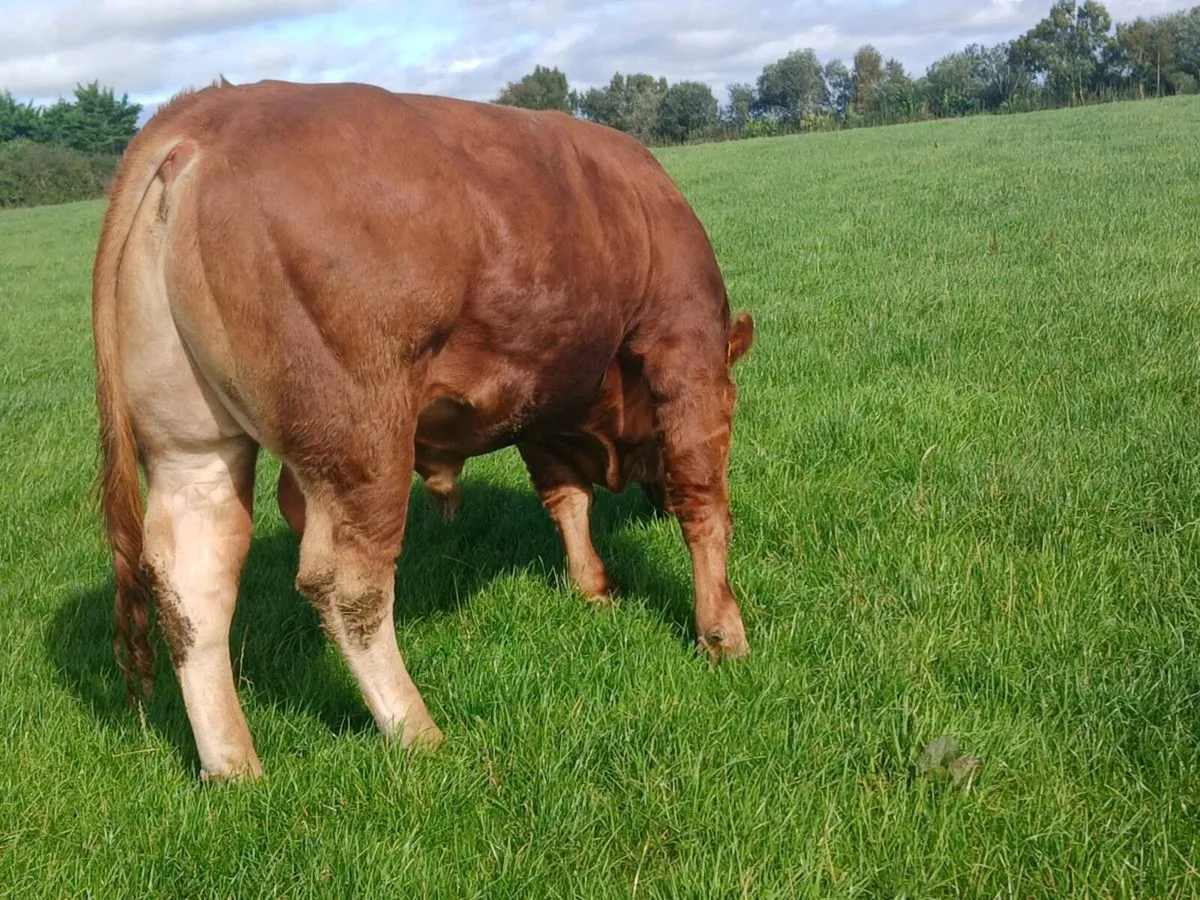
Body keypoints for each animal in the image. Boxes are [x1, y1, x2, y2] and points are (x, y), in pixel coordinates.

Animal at [92, 78, 755, 782]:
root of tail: (204, 118)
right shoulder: (685, 347)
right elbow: (704, 501)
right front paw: (723, 633)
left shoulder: (539, 400)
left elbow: (566, 499)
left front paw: (593, 588)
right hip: (362, 438)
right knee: (347, 586)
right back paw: (417, 731)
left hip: (192, 447)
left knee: (193, 581)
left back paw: (234, 767)